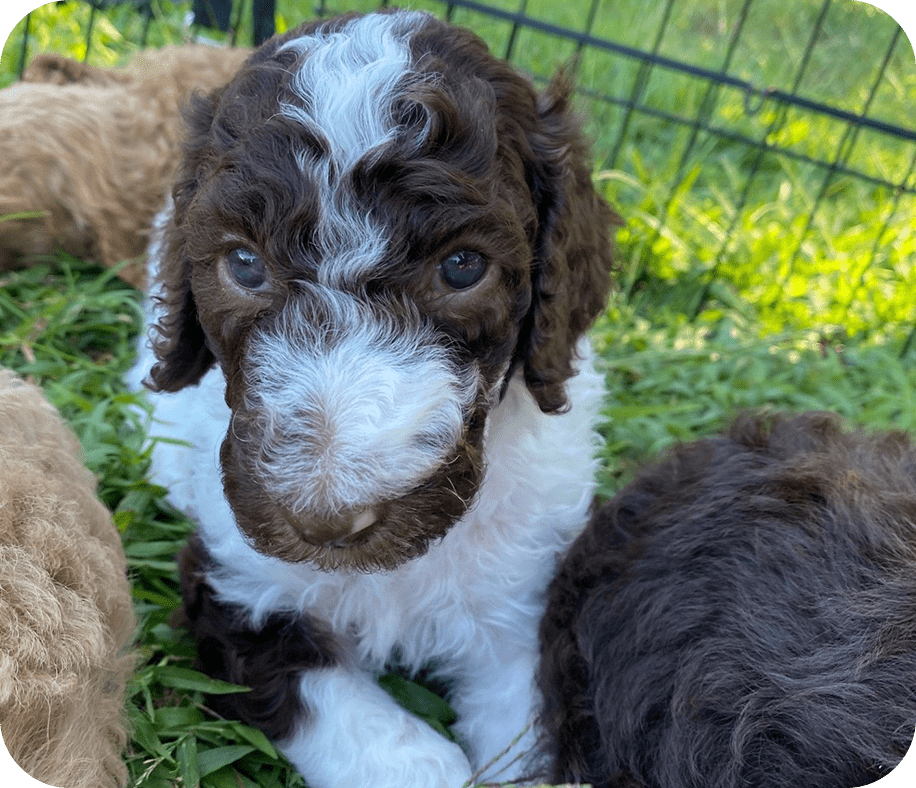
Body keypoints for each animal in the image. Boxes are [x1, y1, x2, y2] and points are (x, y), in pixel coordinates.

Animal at [132, 7, 620, 788]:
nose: (324, 523)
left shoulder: (525, 605)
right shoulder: (239, 585)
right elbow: (352, 720)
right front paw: (432, 764)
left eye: (463, 266)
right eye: (244, 263)